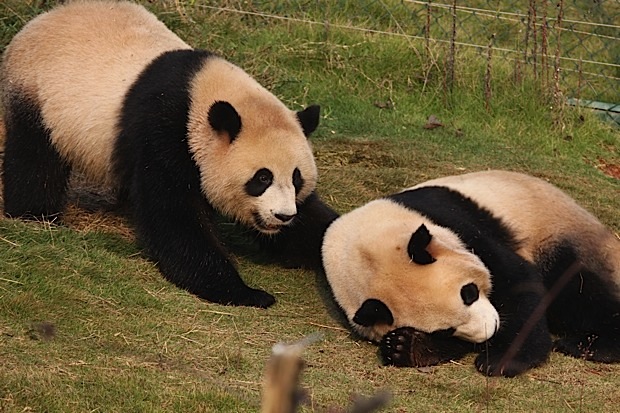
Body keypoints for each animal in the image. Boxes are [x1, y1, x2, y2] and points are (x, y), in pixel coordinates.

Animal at [1, 1, 340, 308]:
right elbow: (174, 217)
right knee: (34, 159)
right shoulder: (166, 132)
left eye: (296, 179)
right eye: (262, 178)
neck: (204, 97)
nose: (283, 216)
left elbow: (313, 222)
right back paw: (36, 215)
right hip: (38, 94)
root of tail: (37, 22)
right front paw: (245, 293)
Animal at [324, 169, 620, 374]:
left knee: (578, 291)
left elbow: (518, 282)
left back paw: (591, 344)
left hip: (556, 234)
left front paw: (502, 360)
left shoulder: (458, 224)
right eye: (445, 330)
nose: (492, 328)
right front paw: (407, 347)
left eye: (469, 292)